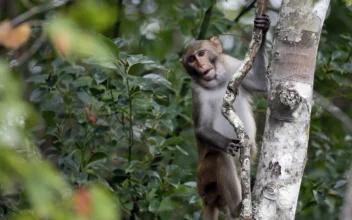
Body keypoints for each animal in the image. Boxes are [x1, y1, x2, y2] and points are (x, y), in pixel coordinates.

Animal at [180, 14, 270, 219]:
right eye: (191, 59)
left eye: (201, 54)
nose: (200, 65)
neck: (216, 82)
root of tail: (206, 199)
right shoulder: (196, 91)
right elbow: (202, 128)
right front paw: (225, 143)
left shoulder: (233, 66)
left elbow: (261, 82)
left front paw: (263, 29)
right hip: (205, 179)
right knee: (219, 157)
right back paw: (238, 207)